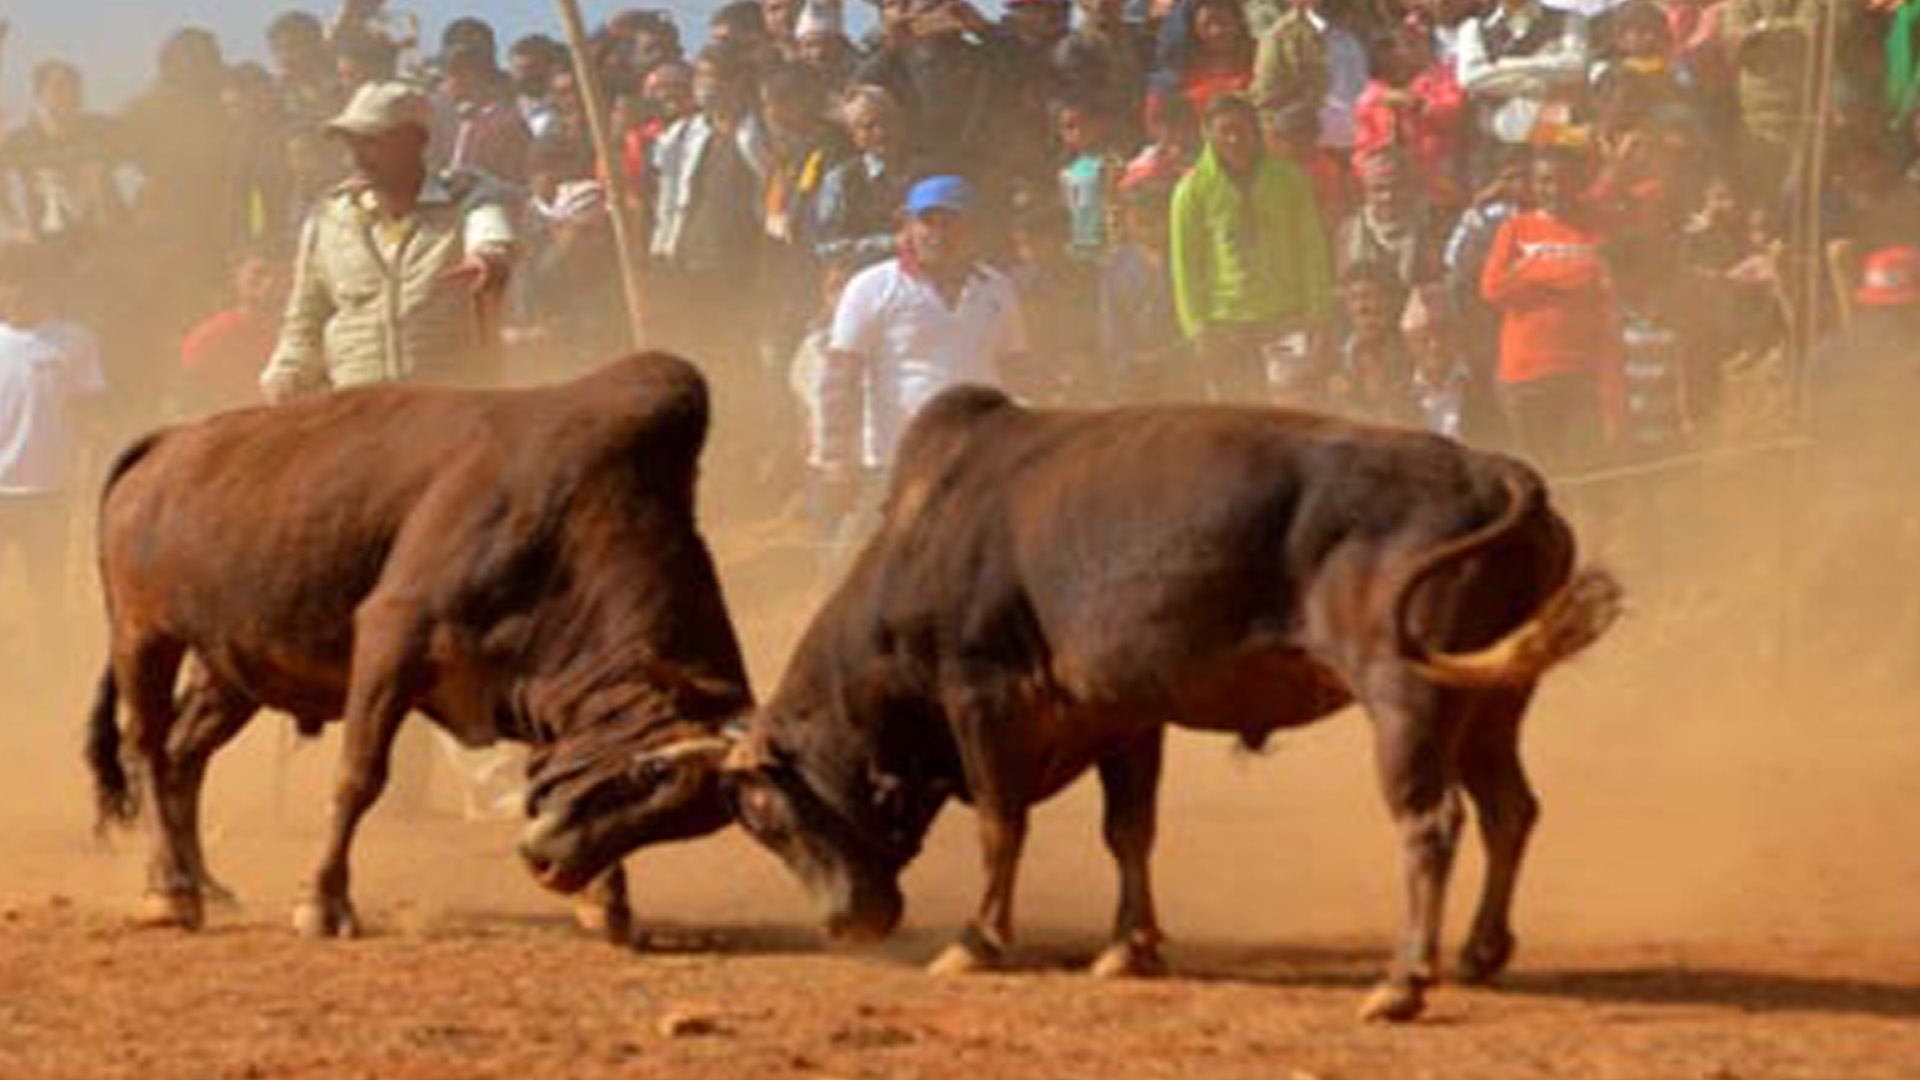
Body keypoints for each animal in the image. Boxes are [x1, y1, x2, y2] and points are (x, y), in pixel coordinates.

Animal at [88, 351, 748, 933]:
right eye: (649, 772)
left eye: (678, 821)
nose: (551, 866)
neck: (574, 520)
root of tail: (168, 442)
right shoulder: (393, 636)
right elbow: (358, 777)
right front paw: (323, 902)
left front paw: (606, 899)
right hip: (143, 636)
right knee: (145, 749)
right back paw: (171, 892)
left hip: (230, 671)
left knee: (184, 756)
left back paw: (203, 884)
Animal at [721, 386, 1620, 1014]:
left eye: (766, 815)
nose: (844, 925)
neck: (924, 536)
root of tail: (1496, 471)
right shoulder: (1125, 716)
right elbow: (1130, 832)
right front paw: (1131, 947)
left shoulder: (981, 695)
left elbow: (1000, 827)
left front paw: (976, 941)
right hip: (1493, 704)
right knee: (1510, 811)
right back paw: (1479, 952)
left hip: (1408, 698)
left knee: (1431, 824)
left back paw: (1403, 981)